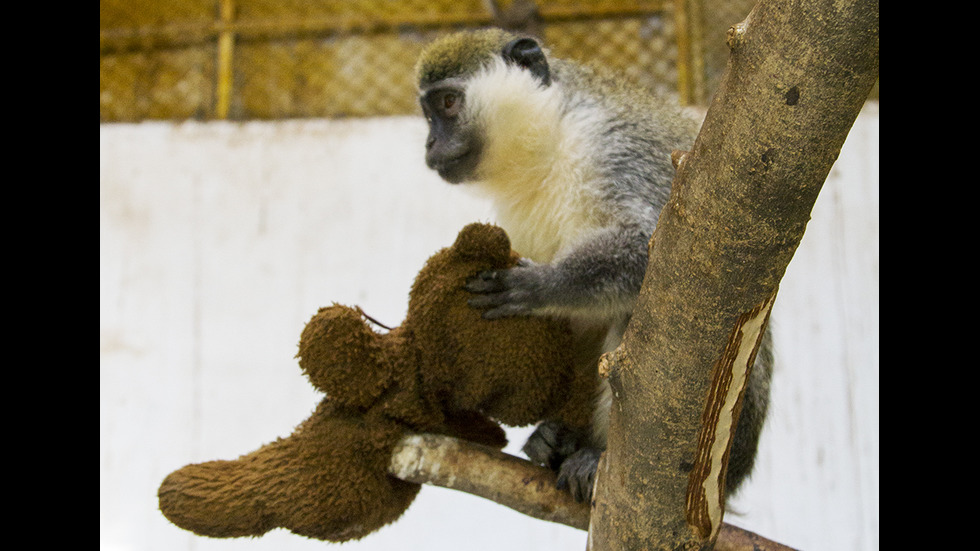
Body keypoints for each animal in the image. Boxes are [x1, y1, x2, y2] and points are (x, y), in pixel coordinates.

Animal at [414, 29, 772, 504]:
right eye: (427, 113)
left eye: (449, 104)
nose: (429, 144)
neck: (550, 140)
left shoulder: (614, 145)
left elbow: (661, 250)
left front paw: (541, 285)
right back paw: (558, 439)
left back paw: (596, 454)